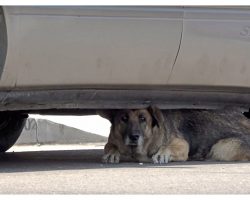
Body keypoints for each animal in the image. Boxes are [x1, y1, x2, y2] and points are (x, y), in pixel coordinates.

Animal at [98, 106, 250, 164]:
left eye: (142, 118)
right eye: (124, 118)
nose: (134, 137)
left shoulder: (181, 144)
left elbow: (168, 147)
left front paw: (163, 153)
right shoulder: (111, 141)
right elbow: (110, 146)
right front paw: (112, 153)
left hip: (221, 147)